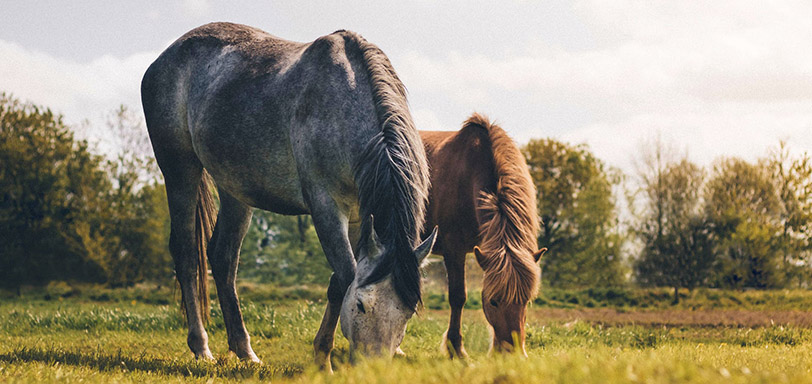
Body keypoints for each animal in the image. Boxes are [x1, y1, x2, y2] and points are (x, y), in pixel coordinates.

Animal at [143, 22, 440, 370]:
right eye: (362, 305)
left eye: (408, 313)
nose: (374, 369)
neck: (345, 104)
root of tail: (164, 58)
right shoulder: (326, 208)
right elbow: (345, 276)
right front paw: (323, 359)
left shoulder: (358, 218)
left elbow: (338, 282)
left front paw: (321, 354)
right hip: (180, 170)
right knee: (188, 254)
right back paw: (201, 347)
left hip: (235, 189)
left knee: (223, 258)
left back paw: (244, 351)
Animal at [418, 114, 544, 356]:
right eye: (493, 301)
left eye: (526, 301)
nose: (512, 353)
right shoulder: (453, 249)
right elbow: (458, 297)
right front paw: (456, 350)